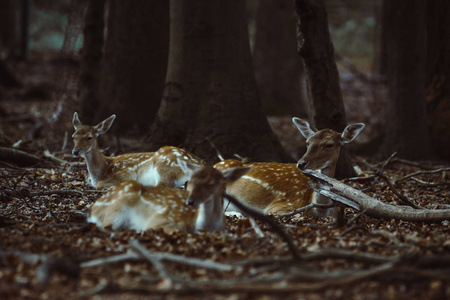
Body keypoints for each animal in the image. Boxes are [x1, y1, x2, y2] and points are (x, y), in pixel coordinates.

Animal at [71, 112, 202, 190]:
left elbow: (99, 185)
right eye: (73, 137)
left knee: (161, 186)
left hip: (165, 165)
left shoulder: (125, 173)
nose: (75, 151)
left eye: (89, 137)